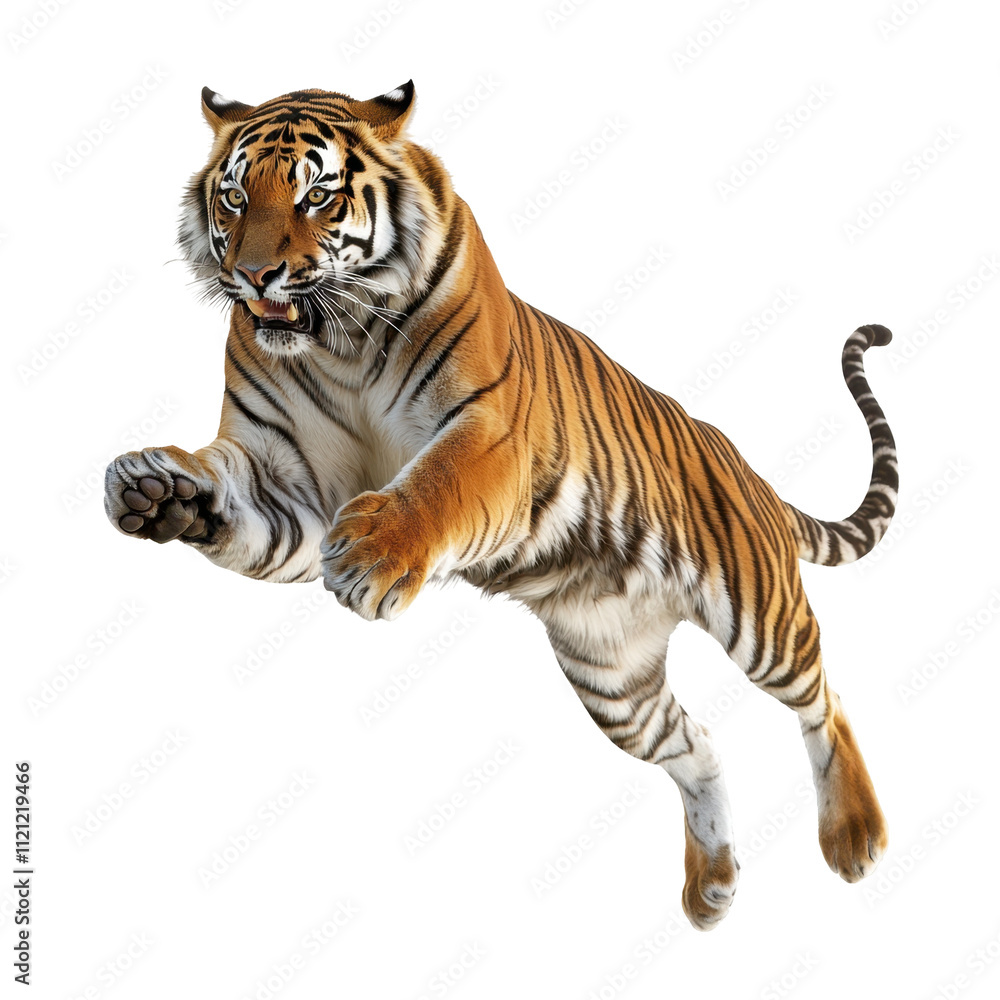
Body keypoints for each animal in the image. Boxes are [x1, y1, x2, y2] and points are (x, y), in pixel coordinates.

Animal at [104, 81, 898, 930]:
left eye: (317, 195)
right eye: (235, 195)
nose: (254, 276)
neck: (337, 337)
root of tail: (753, 476)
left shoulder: (489, 430)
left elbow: (436, 484)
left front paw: (375, 559)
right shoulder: (286, 484)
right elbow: (226, 492)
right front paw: (155, 489)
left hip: (758, 612)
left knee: (825, 697)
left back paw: (855, 836)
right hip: (613, 677)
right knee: (700, 743)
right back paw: (711, 885)